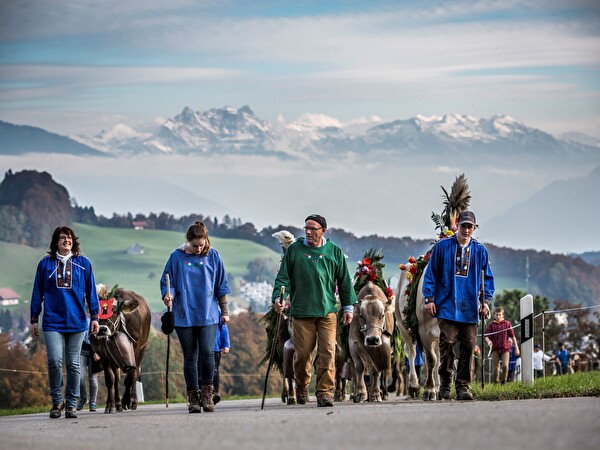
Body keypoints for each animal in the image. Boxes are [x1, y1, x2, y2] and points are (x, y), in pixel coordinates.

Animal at [92, 286, 152, 414]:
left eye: (114, 311)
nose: (102, 329)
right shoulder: (103, 354)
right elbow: (110, 380)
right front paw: (110, 405)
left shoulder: (135, 349)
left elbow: (130, 376)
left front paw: (127, 401)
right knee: (116, 379)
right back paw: (117, 404)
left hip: (142, 349)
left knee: (136, 373)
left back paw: (132, 400)